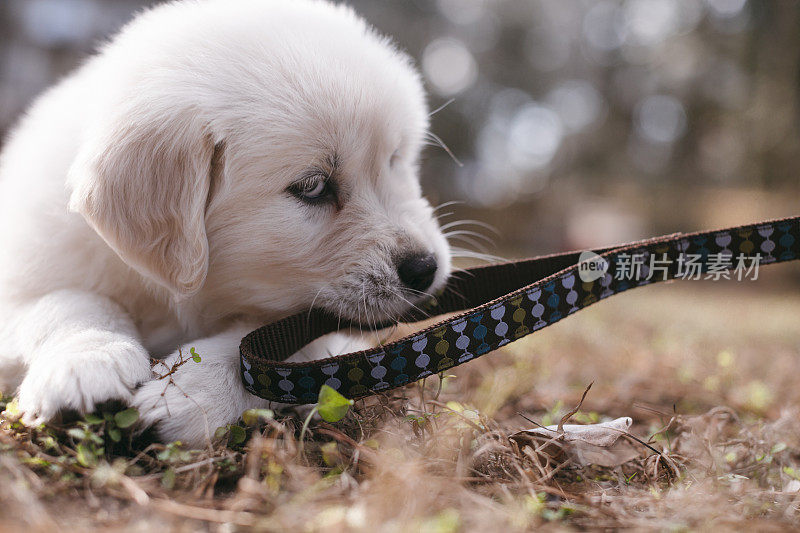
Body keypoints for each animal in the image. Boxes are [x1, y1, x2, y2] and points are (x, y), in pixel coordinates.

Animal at [0, 0, 450, 444]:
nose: (425, 268)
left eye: (394, 159)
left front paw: (190, 391)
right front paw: (88, 362)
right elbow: (66, 301)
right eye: (312, 186)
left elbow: (276, 343)